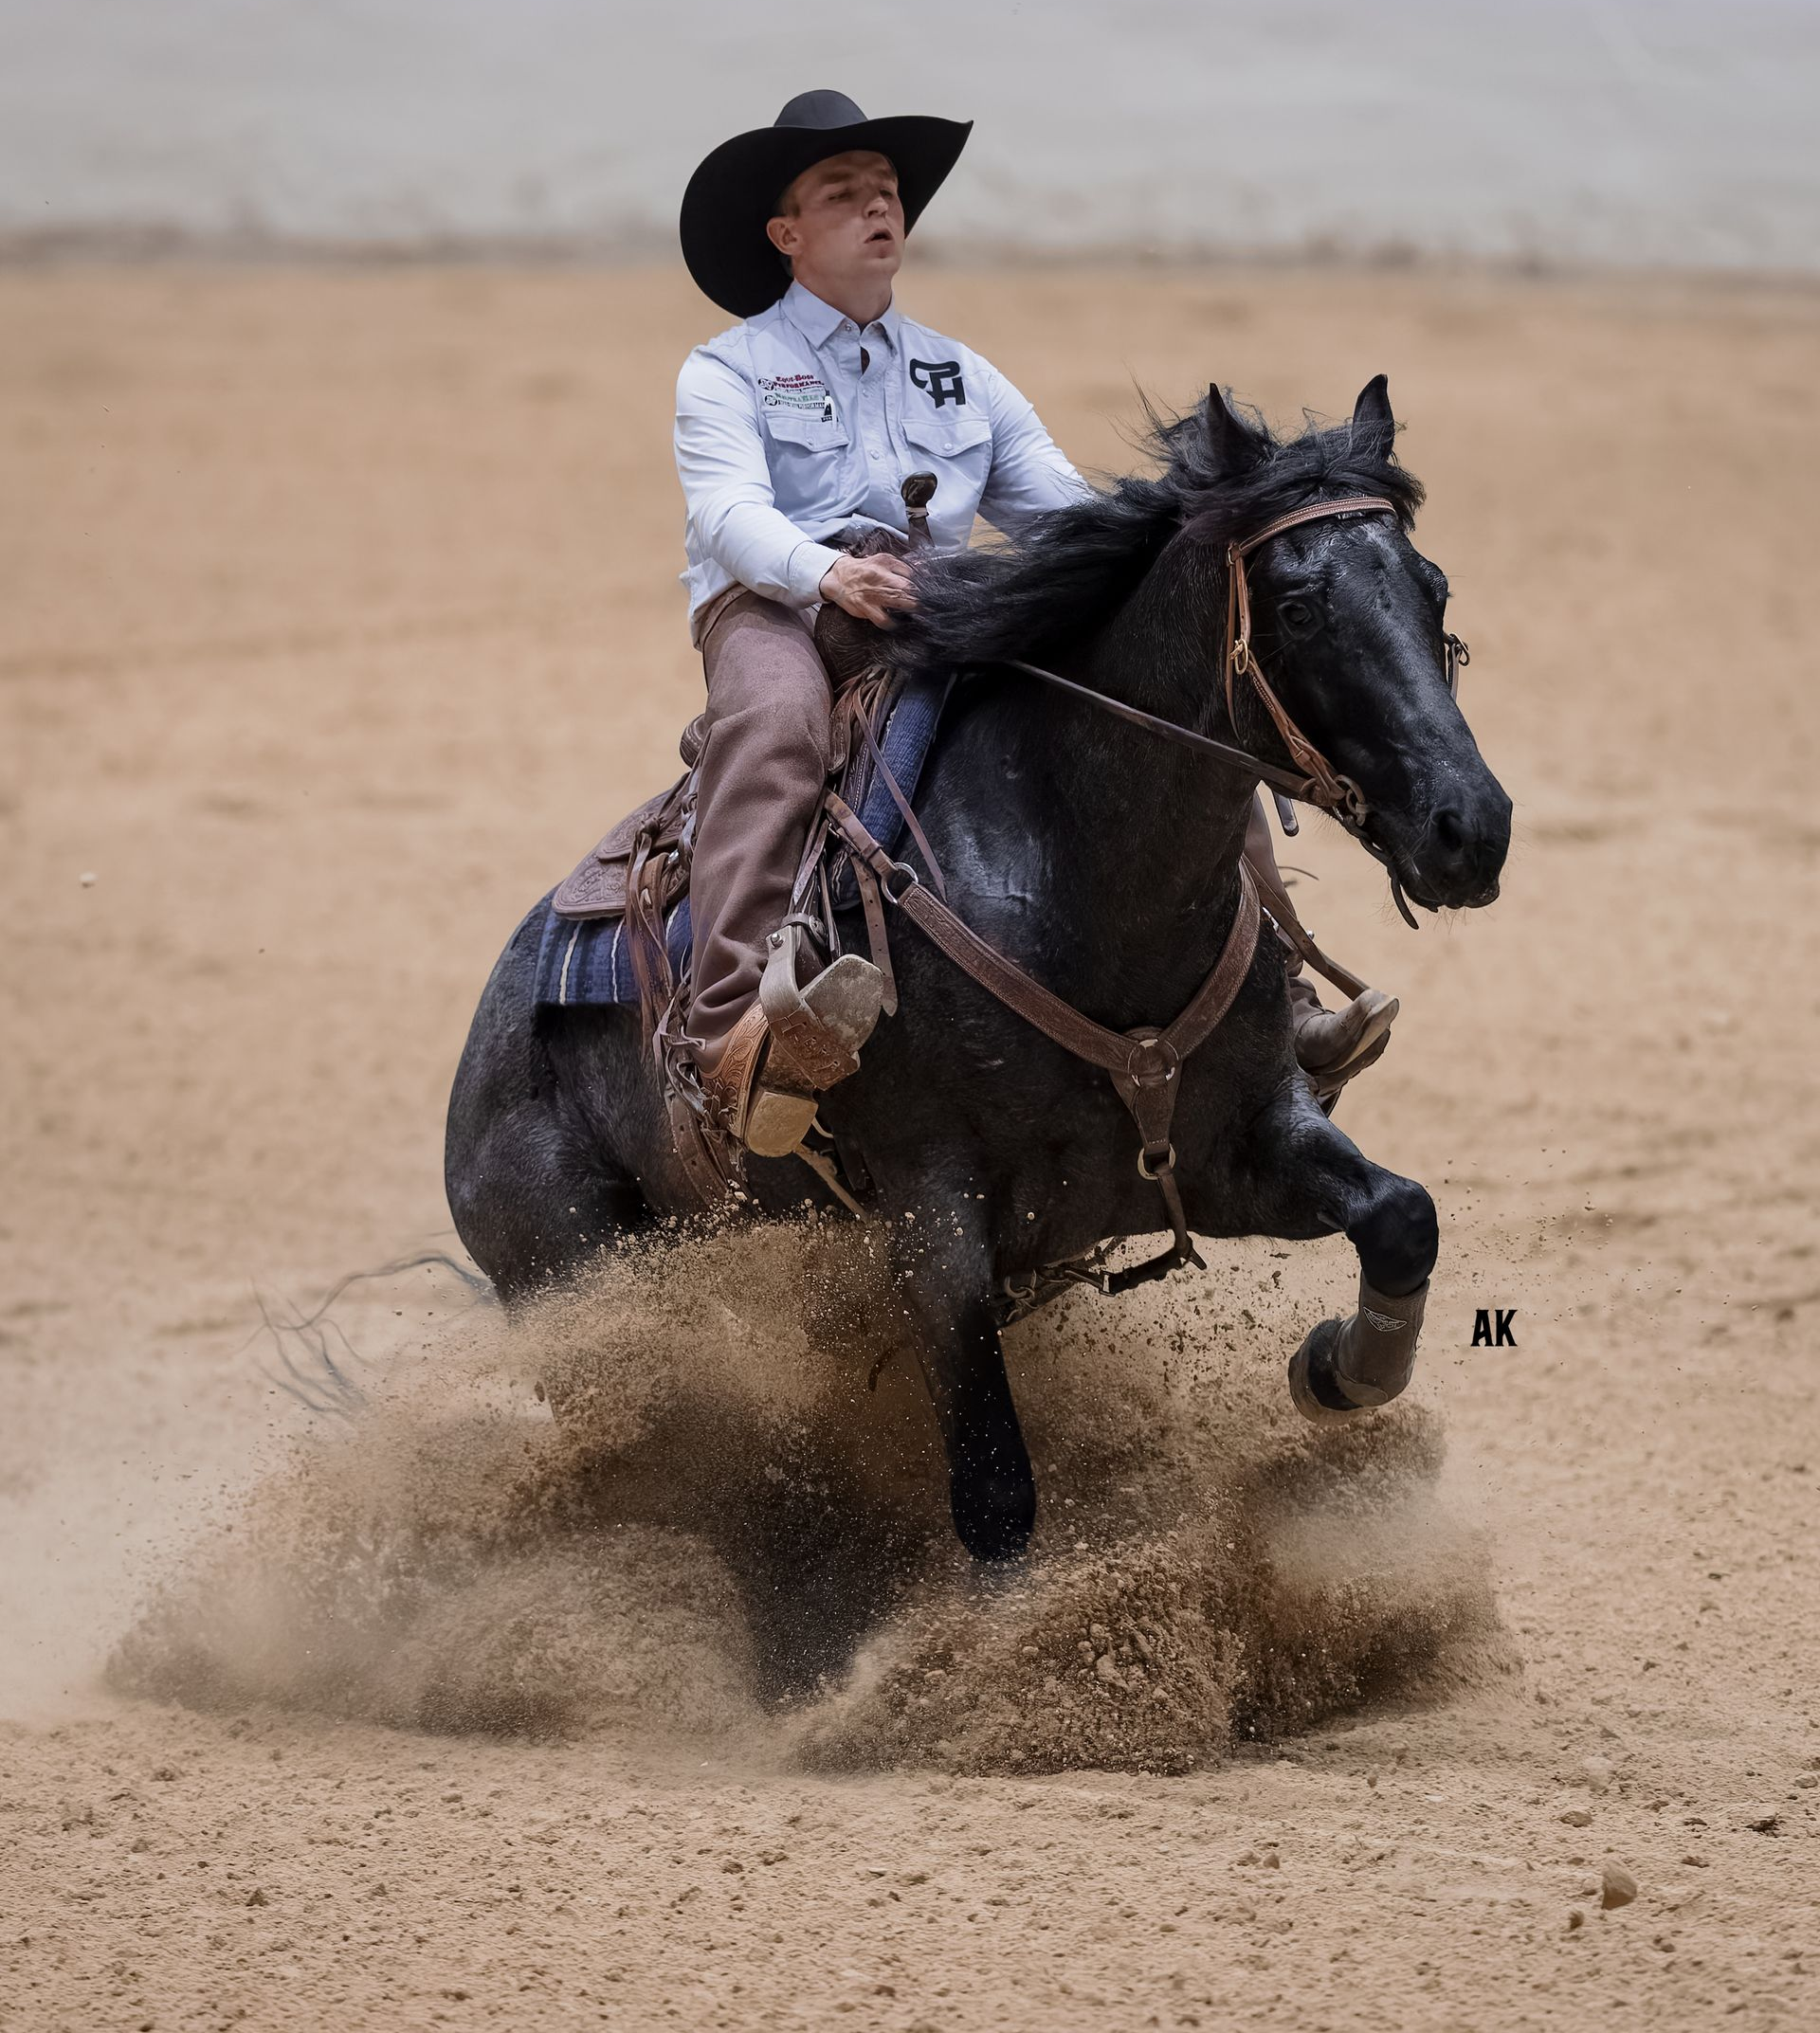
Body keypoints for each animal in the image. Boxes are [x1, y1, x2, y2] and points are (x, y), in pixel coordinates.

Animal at [444, 375, 1511, 1563]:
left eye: (1431, 588)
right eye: (1296, 607)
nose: (1471, 827)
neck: (1071, 876)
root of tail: (483, 1048)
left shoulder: (1236, 1150)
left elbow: (1402, 1215)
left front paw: (1338, 1367)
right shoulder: (933, 1225)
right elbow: (995, 1494)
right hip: (577, 1289)